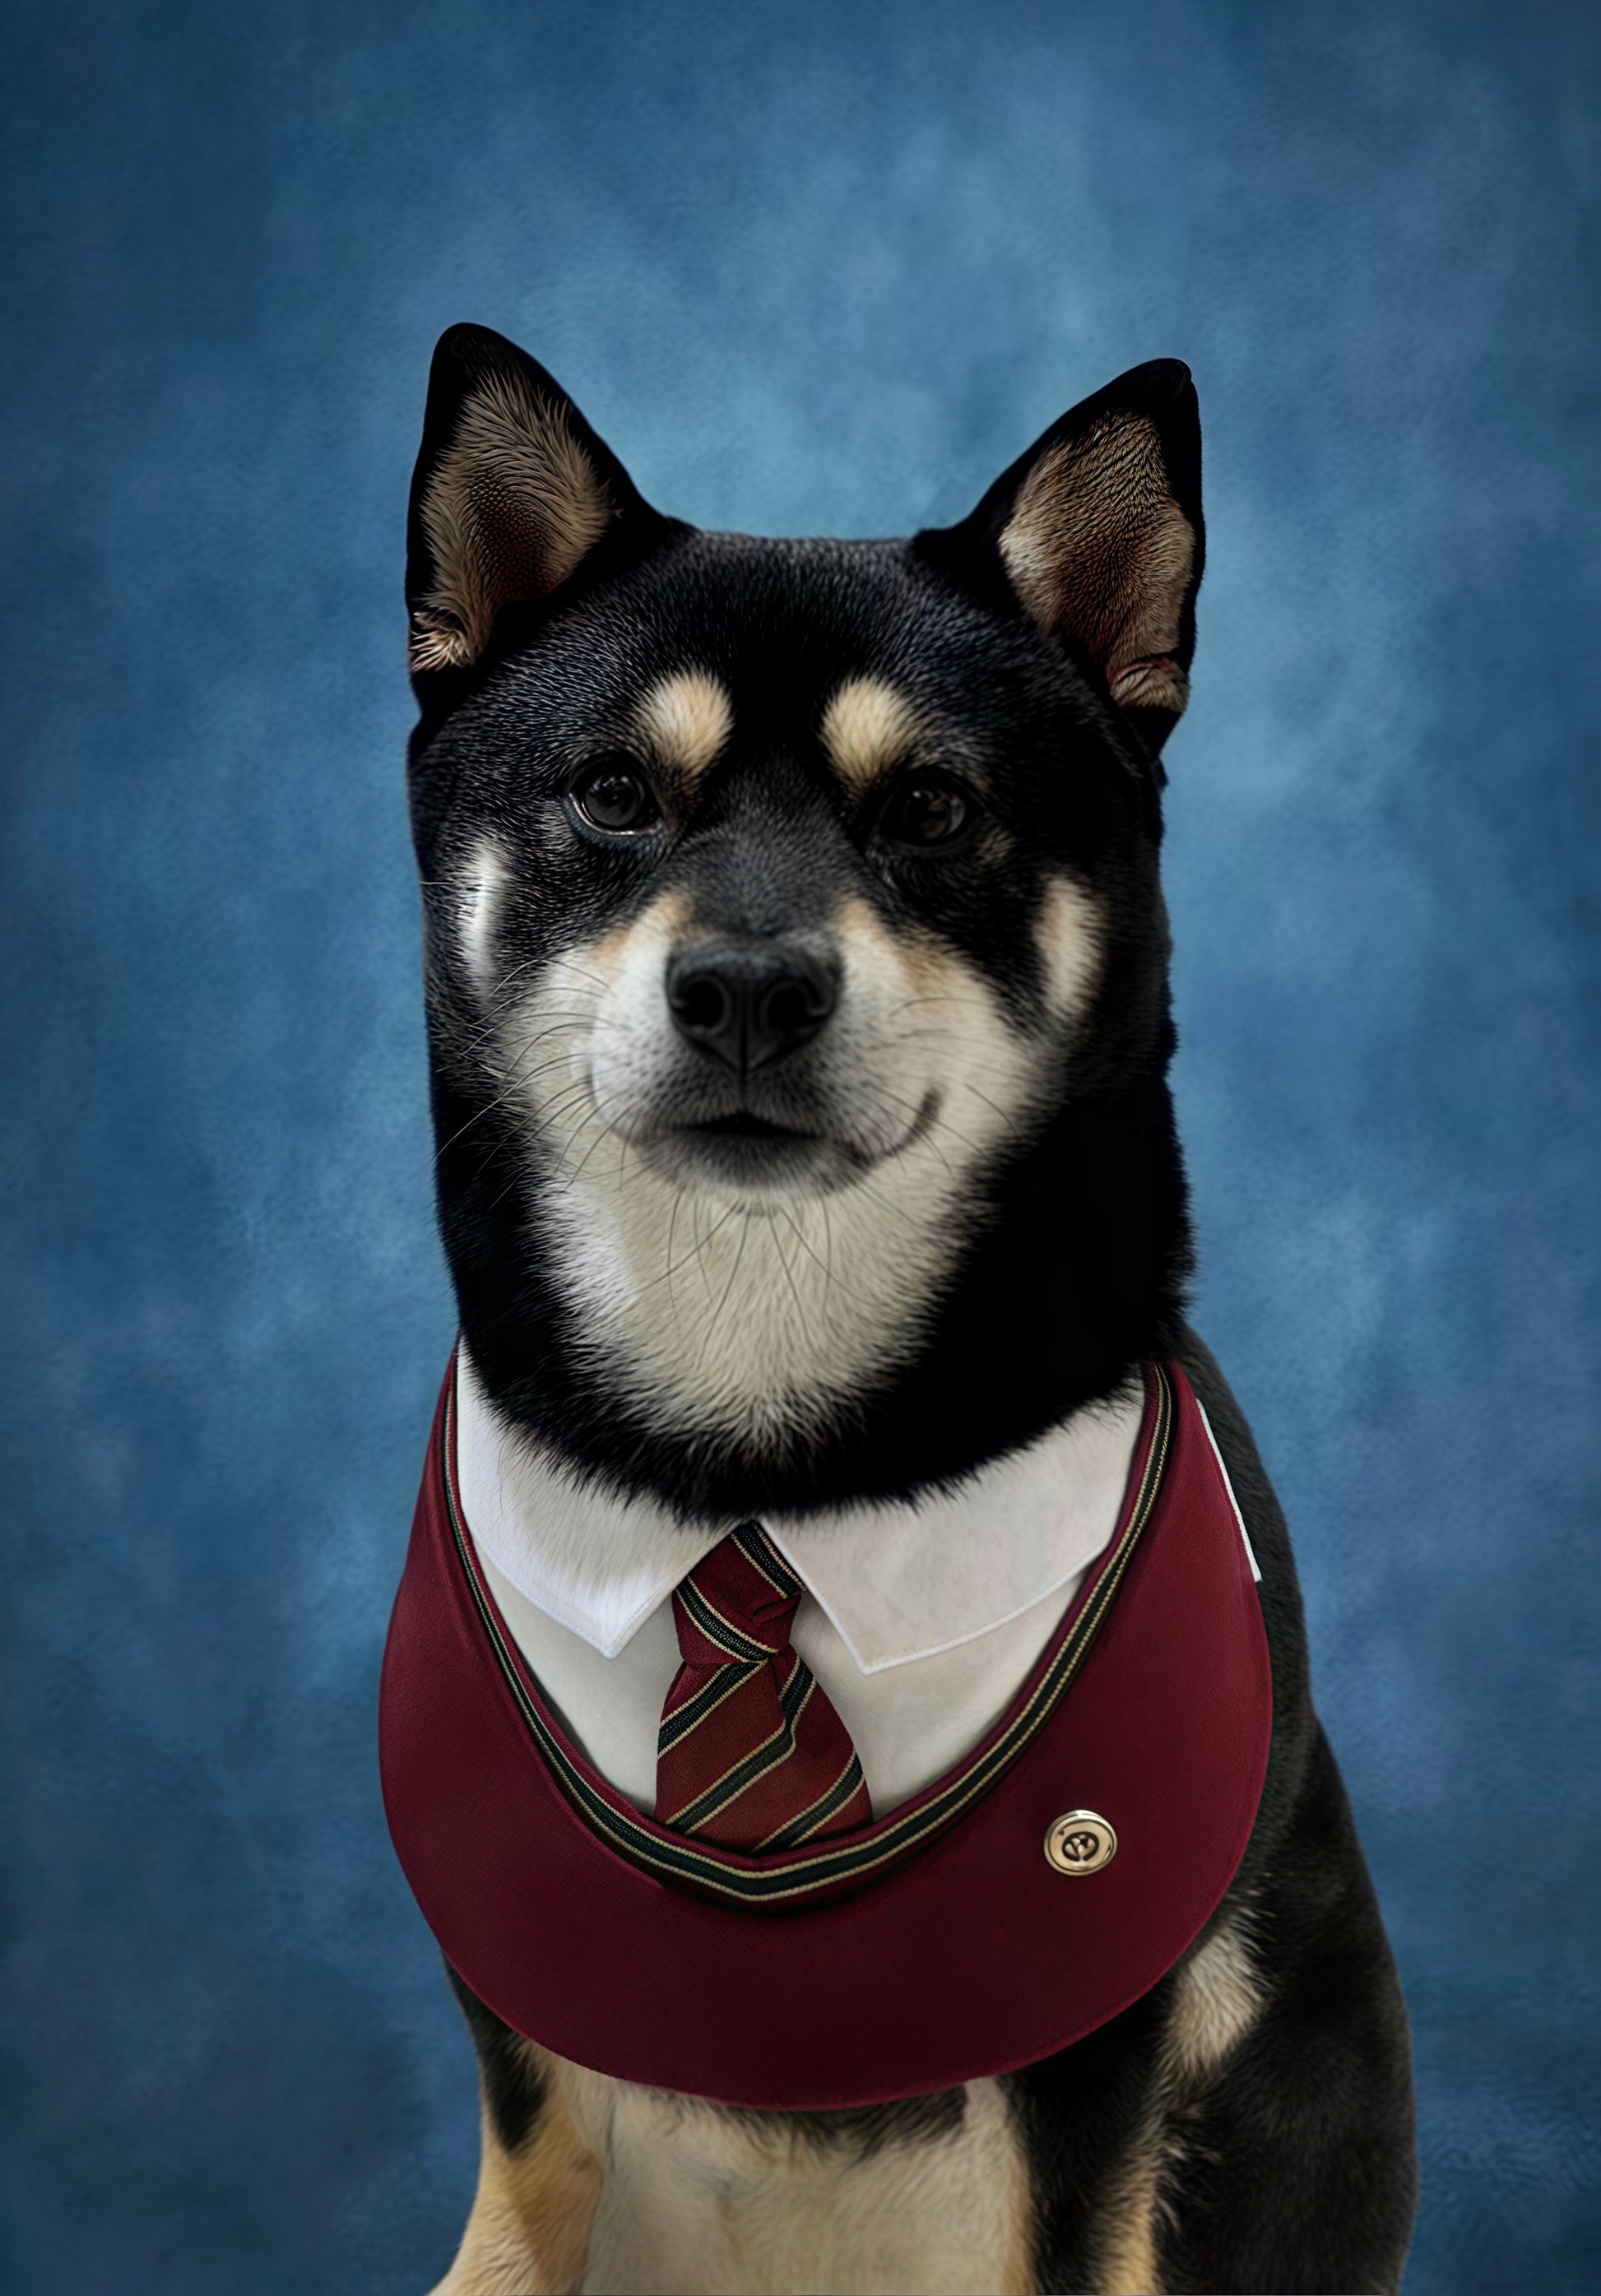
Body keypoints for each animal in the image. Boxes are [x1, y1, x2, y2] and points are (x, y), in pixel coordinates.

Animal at [387, 328, 1414, 2296]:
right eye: (614, 792)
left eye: (932, 809)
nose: (747, 987)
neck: (759, 1463)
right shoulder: (509, 1947)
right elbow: (529, 2161)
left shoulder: (1099, 1998)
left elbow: (1069, 2236)